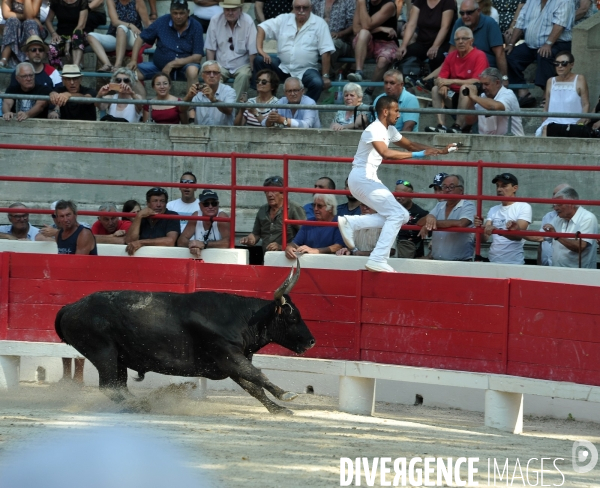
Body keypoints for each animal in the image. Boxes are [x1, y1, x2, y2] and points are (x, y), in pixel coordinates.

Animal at [54, 262, 316, 414]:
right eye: (293, 318)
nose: (311, 341)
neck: (241, 318)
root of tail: (70, 307)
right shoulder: (228, 355)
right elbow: (257, 376)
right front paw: (286, 395)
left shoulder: (231, 362)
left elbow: (253, 386)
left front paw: (279, 409)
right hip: (103, 352)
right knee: (109, 387)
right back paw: (140, 405)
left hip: (117, 358)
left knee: (119, 387)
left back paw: (140, 404)